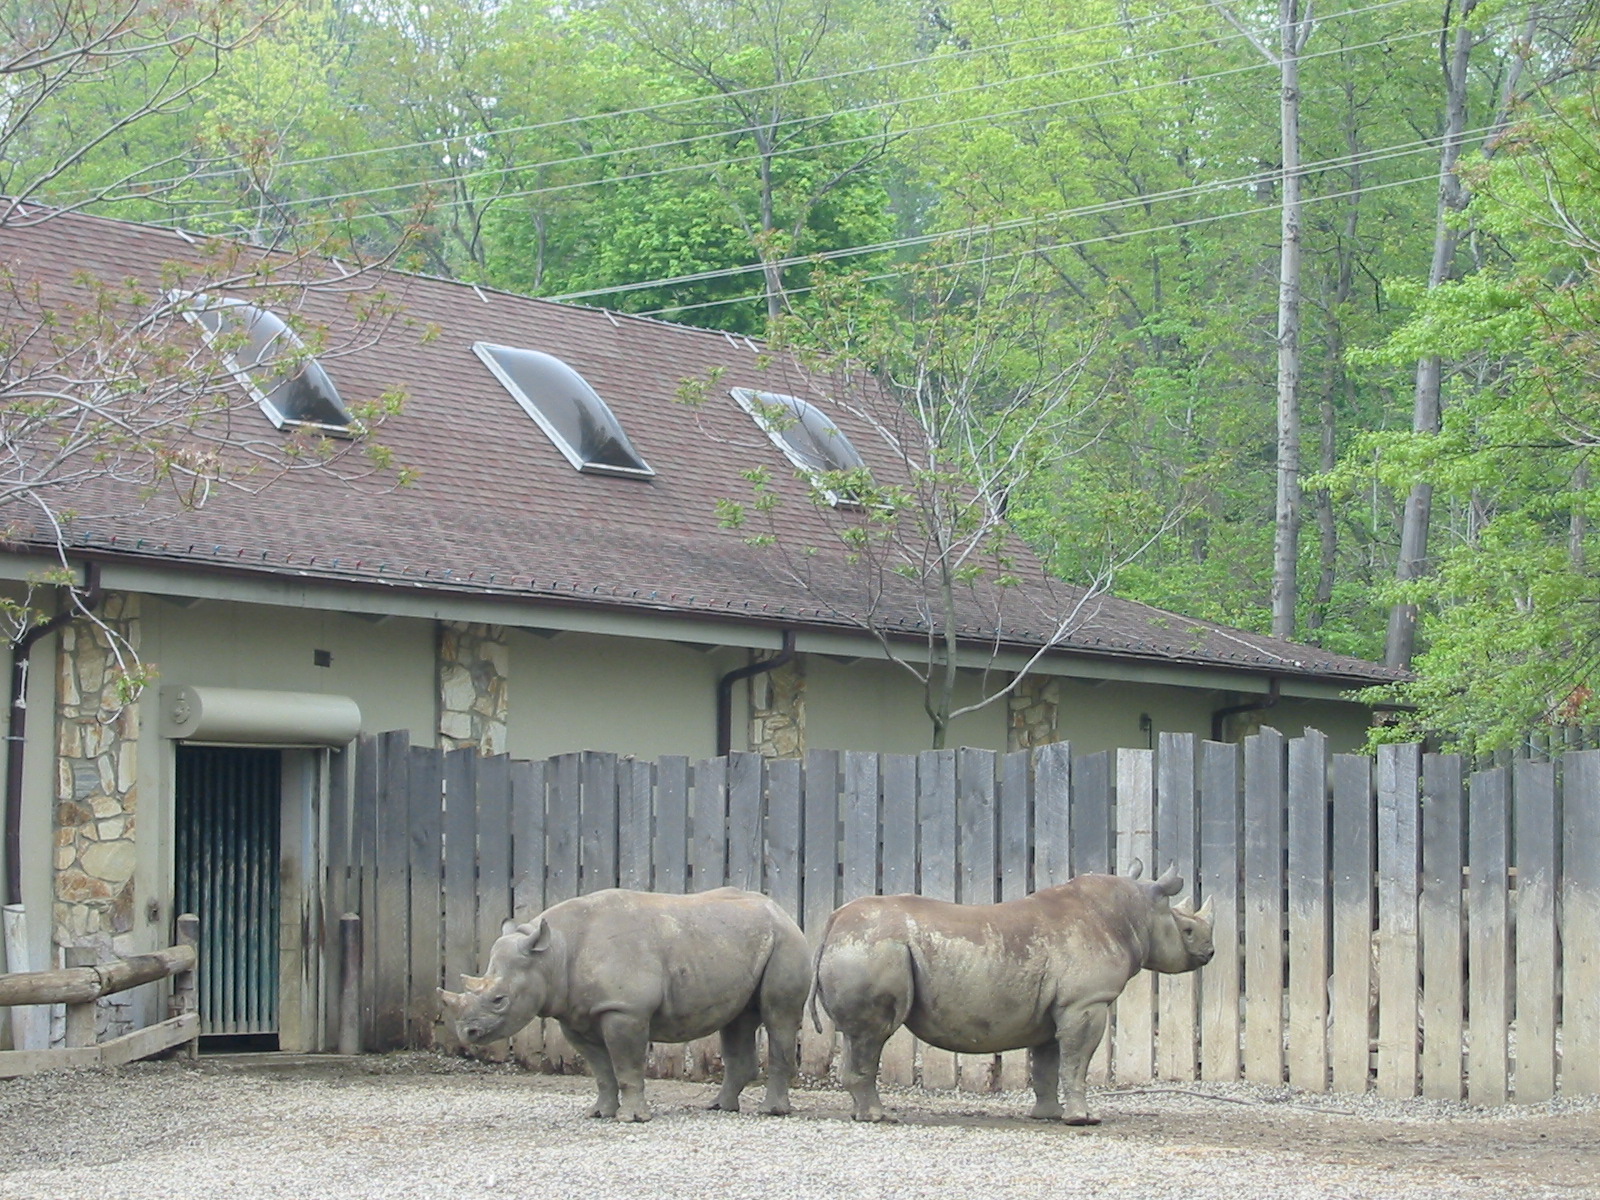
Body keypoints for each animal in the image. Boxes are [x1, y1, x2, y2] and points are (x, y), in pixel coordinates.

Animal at [439, 886, 810, 1122]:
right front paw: (599, 1113)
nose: (467, 1033)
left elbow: (626, 1067)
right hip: (734, 942)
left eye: (499, 1000)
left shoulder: (624, 1010)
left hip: (787, 941)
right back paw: (719, 1107)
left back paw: (771, 1112)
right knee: (736, 1021)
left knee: (778, 1017)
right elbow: (602, 1071)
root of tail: (783, 911)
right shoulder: (576, 1015)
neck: (552, 953)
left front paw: (632, 1118)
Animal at [811, 864, 1214, 1125]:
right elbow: (1077, 1061)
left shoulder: (1057, 1008)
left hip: (861, 944)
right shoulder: (1086, 1002)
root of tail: (831, 924)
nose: (1210, 952)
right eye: (1188, 930)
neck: (1134, 913)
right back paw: (879, 1117)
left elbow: (1049, 1064)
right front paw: (1083, 1120)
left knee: (857, 1035)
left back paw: (861, 1114)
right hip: (873, 946)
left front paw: (1049, 1116)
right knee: (873, 1034)